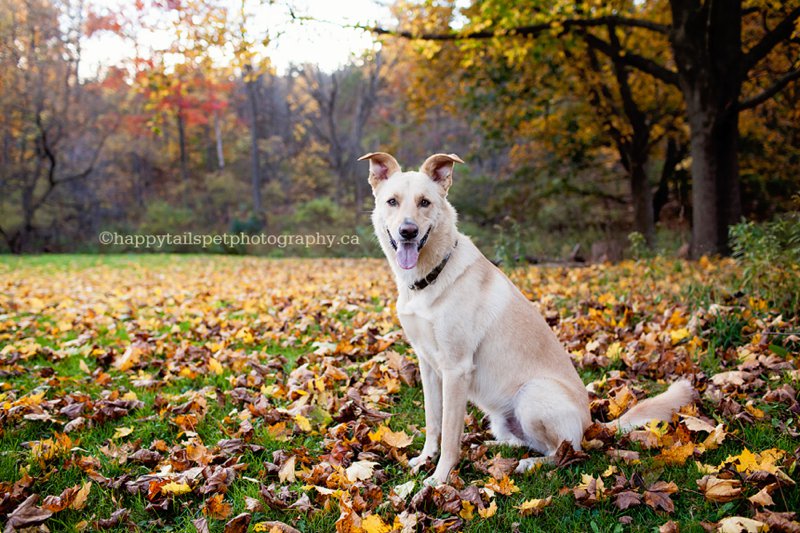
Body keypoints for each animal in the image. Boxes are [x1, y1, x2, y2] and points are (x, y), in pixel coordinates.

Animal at [358, 152, 692, 484]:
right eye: (392, 201)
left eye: (425, 202)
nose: (408, 231)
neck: (429, 278)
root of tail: (591, 425)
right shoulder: (428, 366)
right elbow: (434, 422)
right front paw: (424, 459)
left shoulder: (456, 369)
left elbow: (451, 435)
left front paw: (440, 479)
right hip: (500, 415)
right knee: (524, 441)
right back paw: (492, 447)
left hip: (533, 395)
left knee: (565, 452)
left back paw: (531, 464)